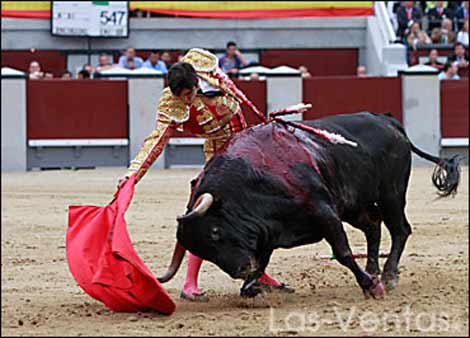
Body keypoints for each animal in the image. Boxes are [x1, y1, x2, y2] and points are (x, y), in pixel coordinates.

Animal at [158, 111, 458, 298]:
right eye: (204, 251)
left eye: (215, 232)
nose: (240, 269)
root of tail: (387, 121)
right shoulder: (268, 230)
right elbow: (262, 262)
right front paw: (253, 287)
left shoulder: (324, 211)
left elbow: (343, 252)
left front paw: (371, 288)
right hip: (354, 204)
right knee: (373, 228)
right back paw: (374, 270)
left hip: (391, 195)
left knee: (400, 230)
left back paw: (388, 276)